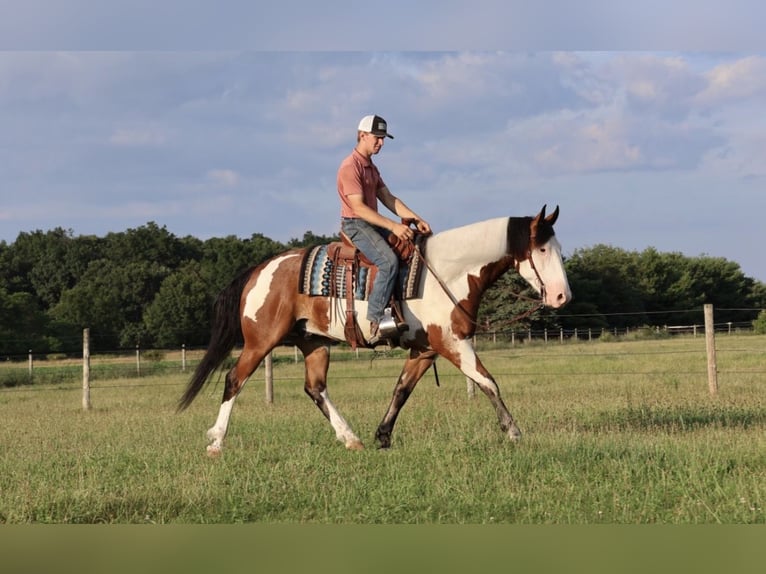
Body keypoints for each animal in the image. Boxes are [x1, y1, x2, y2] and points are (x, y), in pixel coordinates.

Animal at [178, 205, 572, 456]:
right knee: (234, 379)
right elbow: (488, 381)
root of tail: (260, 269)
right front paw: (513, 431)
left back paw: (350, 438)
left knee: (315, 388)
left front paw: (382, 436)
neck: (446, 272)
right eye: (541, 249)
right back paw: (216, 442)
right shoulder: (452, 343)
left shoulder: (425, 349)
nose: (562, 295)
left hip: (314, 343)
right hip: (261, 342)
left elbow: (401, 390)